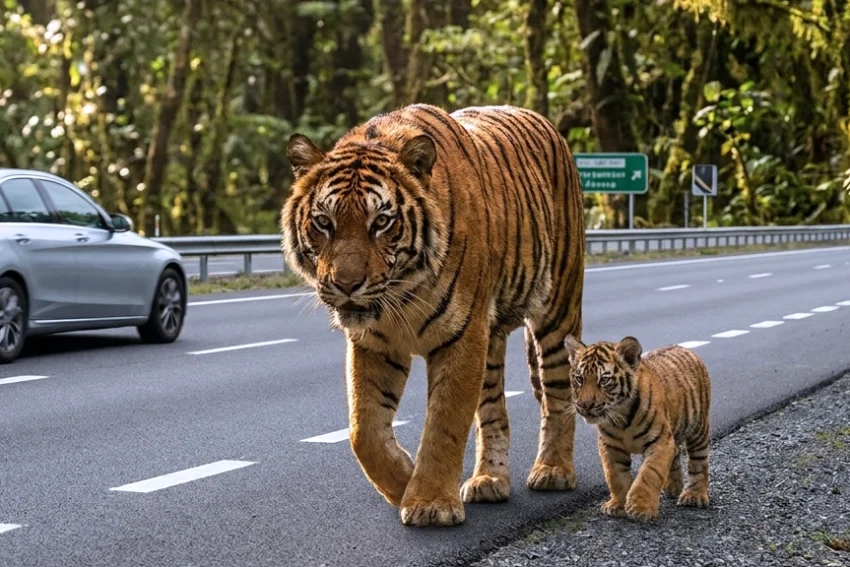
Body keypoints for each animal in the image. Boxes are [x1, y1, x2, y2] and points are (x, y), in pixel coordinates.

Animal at [280, 103, 585, 527]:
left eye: (382, 222)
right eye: (324, 222)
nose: (347, 284)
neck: (402, 292)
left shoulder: (463, 335)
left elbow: (445, 422)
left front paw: (430, 503)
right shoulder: (376, 343)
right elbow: (364, 430)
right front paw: (402, 483)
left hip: (558, 309)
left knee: (557, 394)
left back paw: (554, 471)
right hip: (491, 341)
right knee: (494, 411)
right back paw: (489, 480)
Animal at [564, 335, 712, 522]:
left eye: (604, 380)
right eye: (579, 379)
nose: (584, 405)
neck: (622, 418)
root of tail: (684, 348)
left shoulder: (660, 442)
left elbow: (649, 473)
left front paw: (640, 508)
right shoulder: (611, 447)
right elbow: (616, 476)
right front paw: (618, 506)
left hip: (699, 428)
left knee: (699, 462)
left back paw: (694, 495)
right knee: (677, 453)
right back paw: (673, 487)